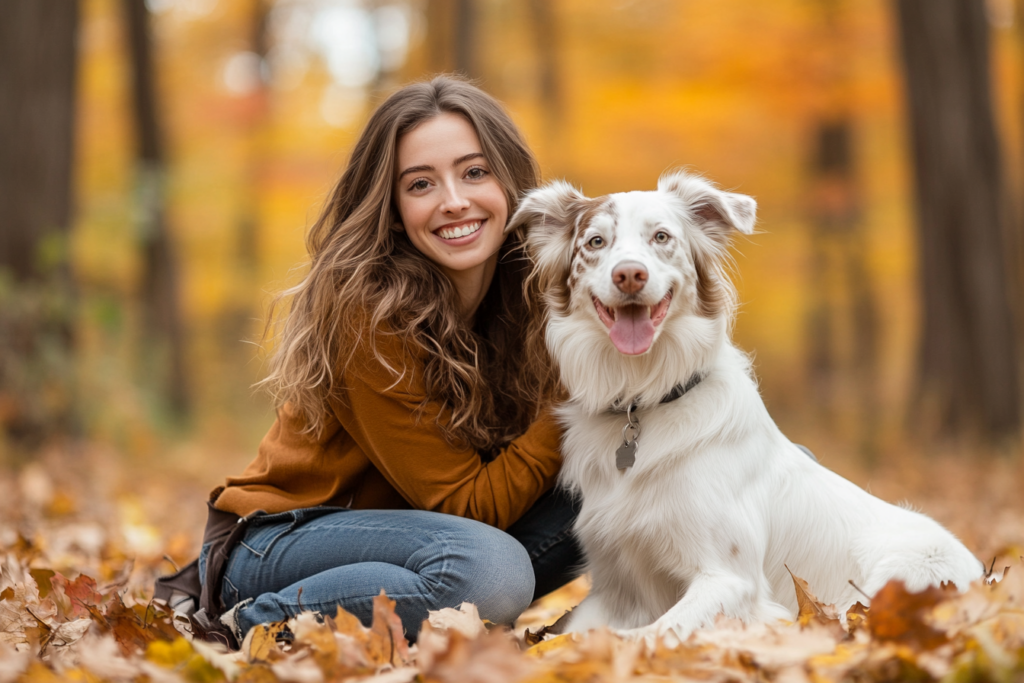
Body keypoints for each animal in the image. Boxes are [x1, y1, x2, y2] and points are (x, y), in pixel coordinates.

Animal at [505, 171, 983, 643]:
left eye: (661, 236)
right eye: (595, 242)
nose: (629, 275)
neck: (642, 397)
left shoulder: (731, 580)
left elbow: (647, 634)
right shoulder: (613, 587)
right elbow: (560, 635)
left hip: (906, 572)